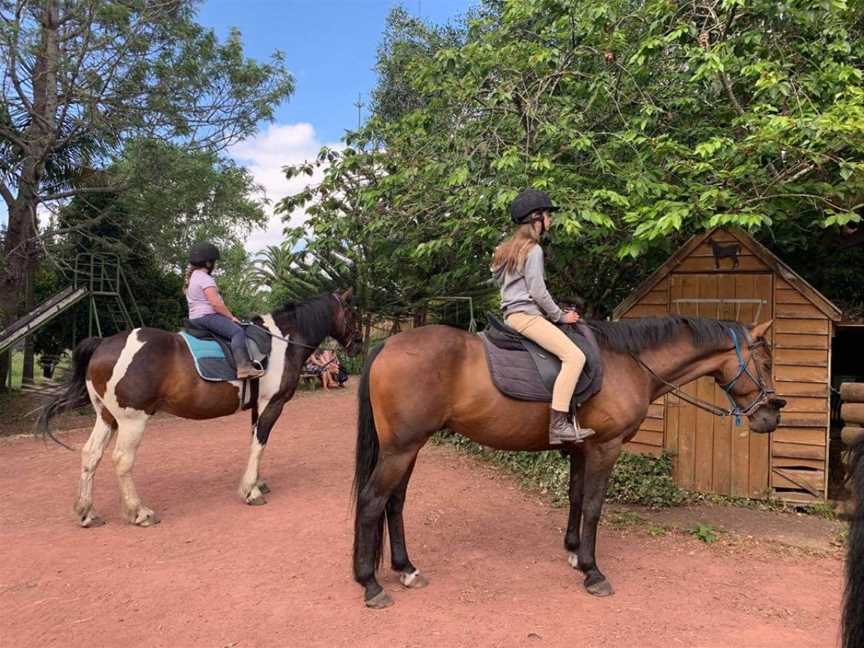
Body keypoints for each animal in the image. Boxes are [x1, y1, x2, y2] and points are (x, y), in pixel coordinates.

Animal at [37, 292, 360, 528]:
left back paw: (86, 511)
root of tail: (103, 343)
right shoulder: (273, 403)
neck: (281, 343)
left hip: (107, 417)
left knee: (91, 455)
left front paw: (256, 481)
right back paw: (139, 512)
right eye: (352, 314)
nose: (357, 344)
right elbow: (259, 444)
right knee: (122, 460)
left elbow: (254, 443)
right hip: (132, 420)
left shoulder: (258, 406)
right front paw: (250, 491)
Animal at [352, 316, 784, 608]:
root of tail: (386, 345)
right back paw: (370, 583)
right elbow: (593, 506)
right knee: (373, 502)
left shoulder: (581, 449)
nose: (771, 417)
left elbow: (576, 498)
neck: (627, 362)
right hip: (401, 448)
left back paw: (406, 568)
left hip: (409, 448)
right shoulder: (605, 448)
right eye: (765, 364)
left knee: (394, 502)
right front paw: (593, 571)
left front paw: (574, 551)